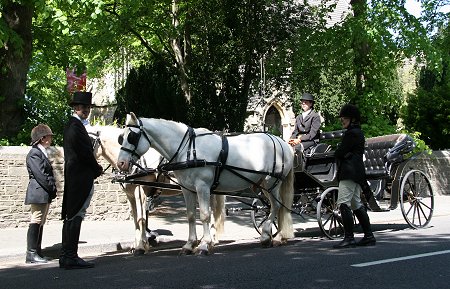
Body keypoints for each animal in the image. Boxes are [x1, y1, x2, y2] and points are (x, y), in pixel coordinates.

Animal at [86, 125, 181, 254]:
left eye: (89, 140)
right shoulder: (130, 195)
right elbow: (136, 219)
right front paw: (136, 245)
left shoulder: (140, 192)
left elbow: (142, 219)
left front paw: (141, 246)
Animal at [116, 112, 296, 254]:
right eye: (120, 138)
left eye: (132, 137)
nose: (121, 164)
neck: (187, 149)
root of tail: (282, 142)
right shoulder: (187, 189)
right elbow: (190, 215)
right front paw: (190, 245)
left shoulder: (202, 187)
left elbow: (204, 215)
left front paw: (204, 245)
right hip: (262, 184)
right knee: (272, 207)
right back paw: (272, 236)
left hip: (272, 182)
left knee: (276, 206)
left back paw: (273, 236)